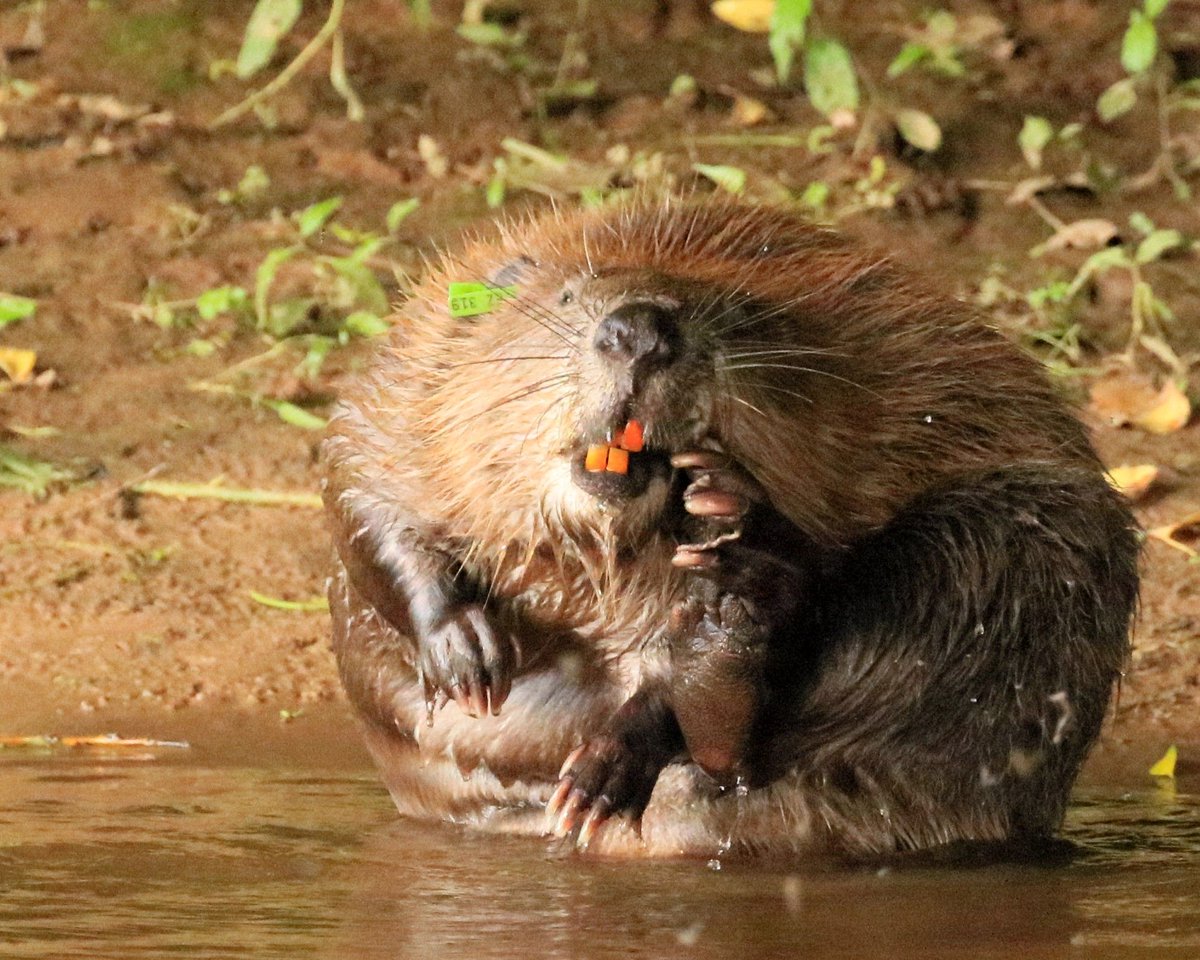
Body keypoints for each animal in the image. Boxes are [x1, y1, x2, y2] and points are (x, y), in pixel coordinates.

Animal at [324, 199, 1137, 859]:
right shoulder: (414, 370)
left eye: (735, 316)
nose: (640, 331)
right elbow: (360, 491)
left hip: (1027, 542)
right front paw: (467, 656)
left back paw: (723, 609)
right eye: (566, 295)